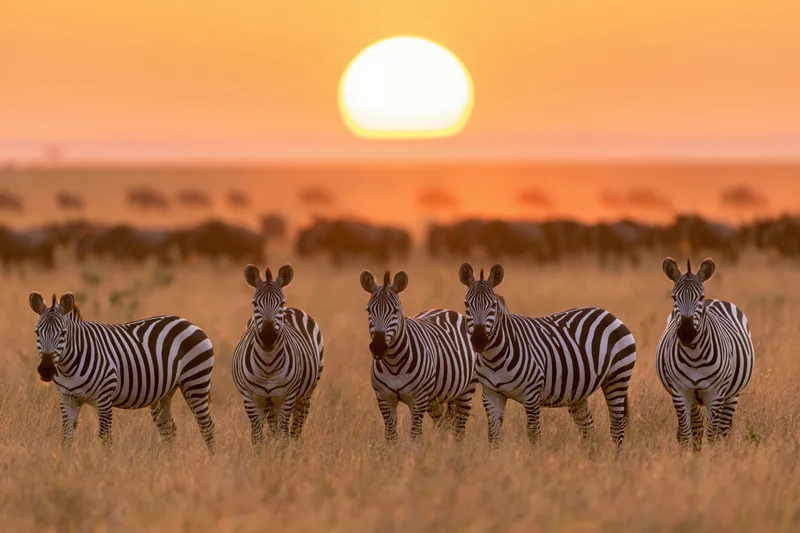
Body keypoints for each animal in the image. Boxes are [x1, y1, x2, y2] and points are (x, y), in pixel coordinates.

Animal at [29, 292, 215, 451]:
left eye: (63, 333)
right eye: (37, 332)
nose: (46, 370)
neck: (68, 369)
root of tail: (186, 321)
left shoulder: (104, 399)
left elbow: (105, 438)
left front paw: (105, 465)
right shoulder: (67, 399)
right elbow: (67, 438)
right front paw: (65, 464)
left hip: (196, 382)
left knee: (207, 427)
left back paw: (211, 461)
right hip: (165, 392)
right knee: (169, 429)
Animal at [232, 264, 324, 445]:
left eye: (281, 302)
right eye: (254, 303)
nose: (268, 338)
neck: (268, 364)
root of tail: (292, 309)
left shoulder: (286, 398)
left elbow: (283, 437)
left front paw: (281, 452)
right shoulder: (251, 399)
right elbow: (258, 438)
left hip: (306, 394)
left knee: (296, 428)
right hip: (269, 402)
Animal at [360, 270, 478, 442]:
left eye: (395, 311)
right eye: (369, 310)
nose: (378, 347)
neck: (393, 363)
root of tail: (446, 310)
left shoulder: (418, 399)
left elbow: (415, 436)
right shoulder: (384, 399)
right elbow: (391, 436)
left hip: (466, 390)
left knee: (459, 432)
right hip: (435, 399)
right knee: (444, 426)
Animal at [458, 263, 637, 450]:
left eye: (492, 305)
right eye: (466, 304)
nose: (479, 341)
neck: (494, 358)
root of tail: (608, 314)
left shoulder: (531, 395)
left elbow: (534, 435)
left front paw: (534, 457)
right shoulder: (491, 394)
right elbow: (493, 436)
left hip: (617, 378)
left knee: (617, 427)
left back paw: (616, 457)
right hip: (579, 390)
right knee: (588, 428)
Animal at [656, 257, 754, 452]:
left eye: (700, 297)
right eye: (673, 297)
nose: (686, 334)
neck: (694, 356)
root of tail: (714, 299)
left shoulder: (715, 395)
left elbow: (713, 436)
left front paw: (714, 457)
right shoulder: (680, 393)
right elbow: (686, 434)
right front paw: (688, 458)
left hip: (732, 394)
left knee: (722, 430)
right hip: (694, 399)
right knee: (697, 428)